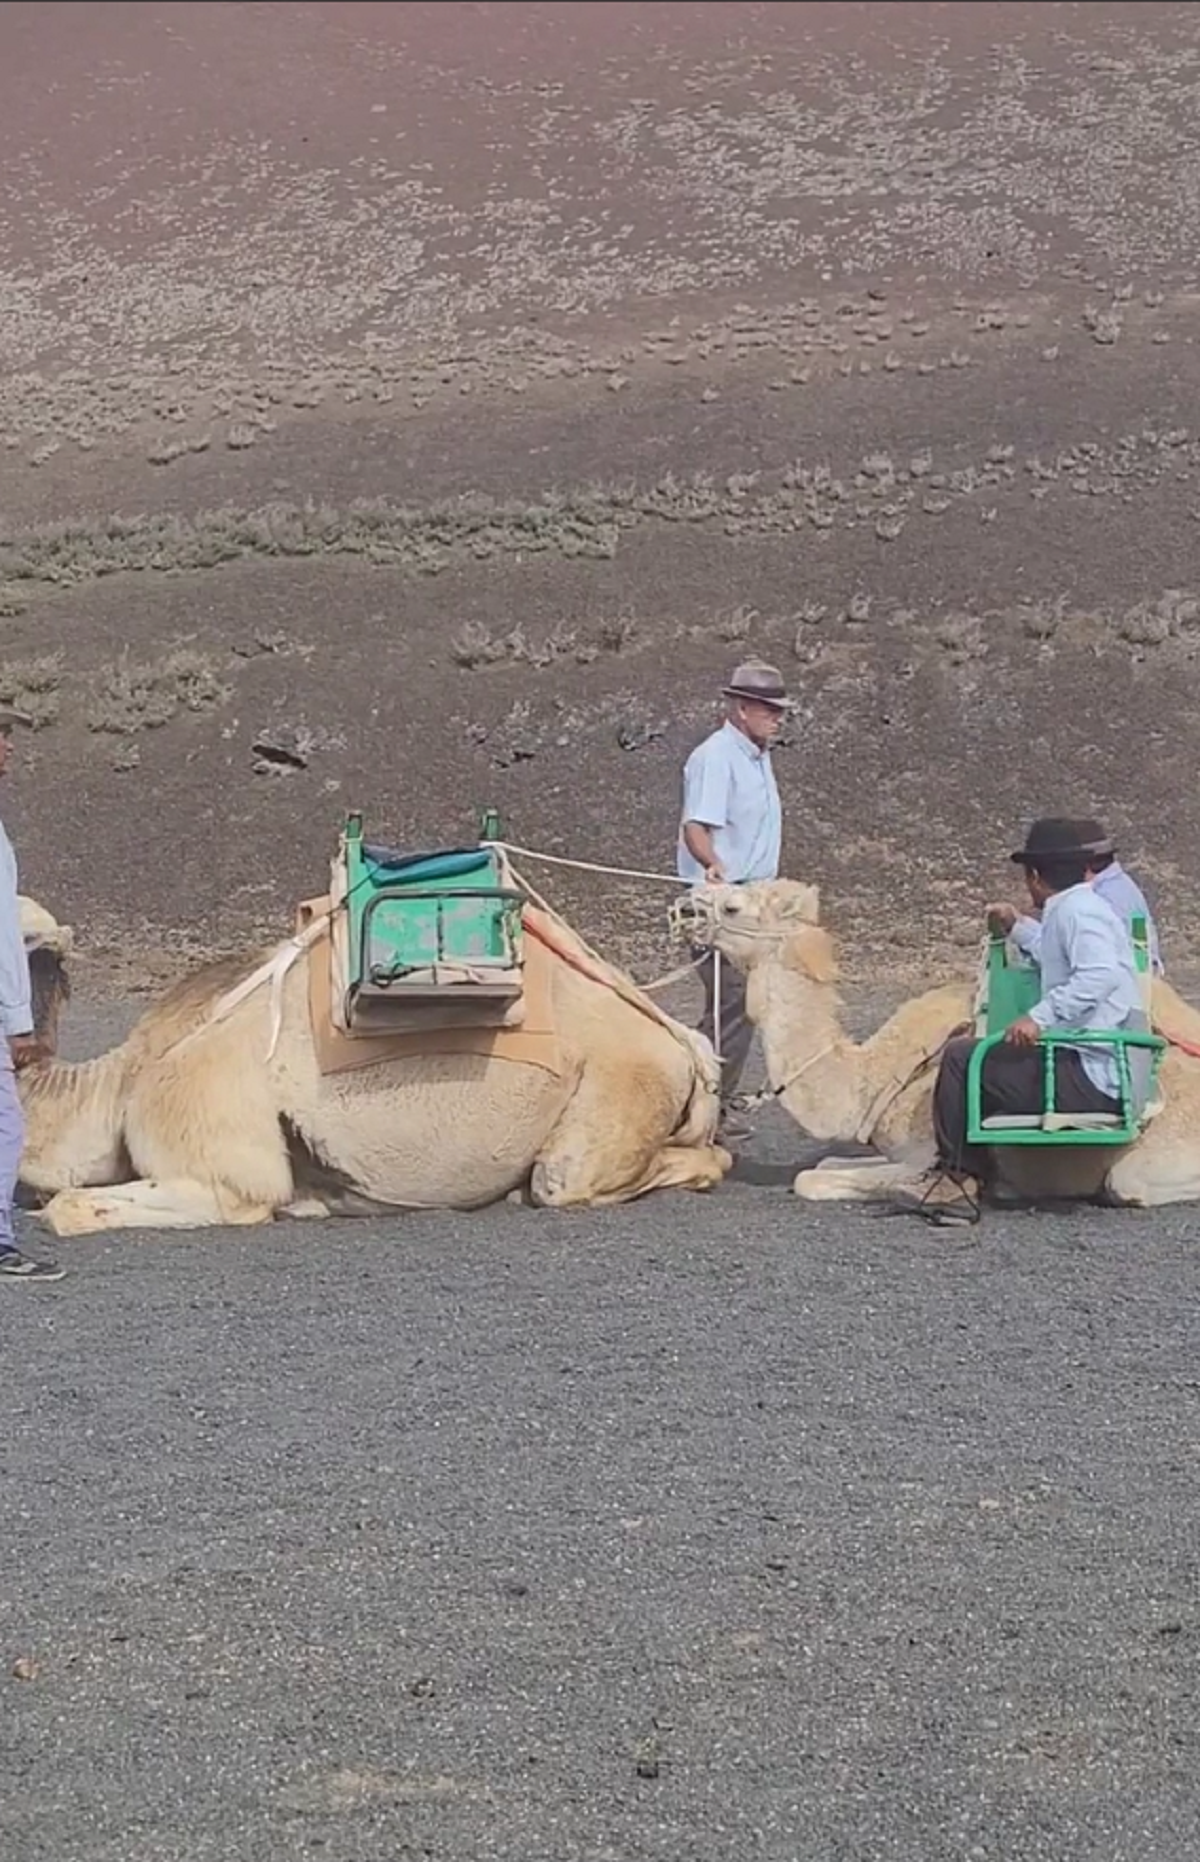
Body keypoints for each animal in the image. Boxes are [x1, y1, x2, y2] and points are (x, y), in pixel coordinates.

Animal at [14, 890, 734, 1236]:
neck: (120, 1085)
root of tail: (678, 1041)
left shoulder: (226, 1176)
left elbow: (68, 1207)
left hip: (617, 1092)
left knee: (601, 1173)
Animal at [667, 882, 1200, 1214]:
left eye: (733, 906)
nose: (684, 903)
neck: (873, 1079)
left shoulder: (921, 1154)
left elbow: (810, 1179)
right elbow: (824, 1165)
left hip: (1145, 1160)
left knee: (1127, 1187)